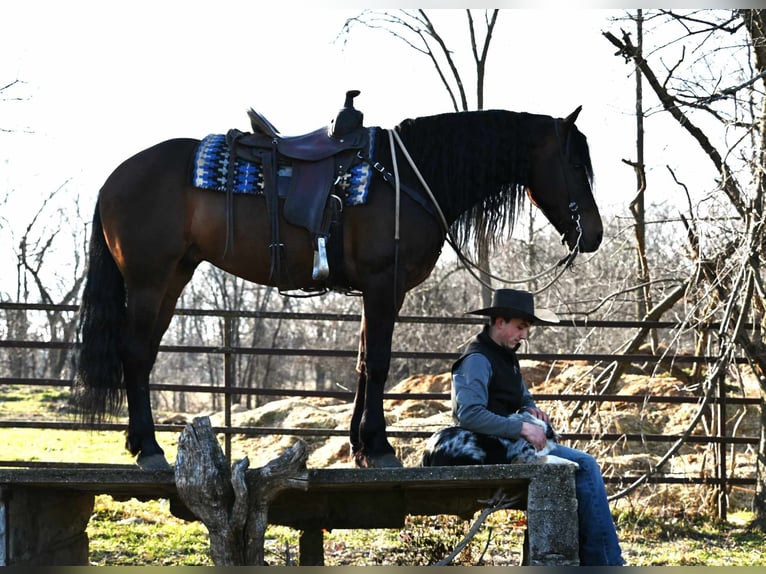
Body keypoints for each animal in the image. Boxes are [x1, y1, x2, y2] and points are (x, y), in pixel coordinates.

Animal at [72, 101, 604, 470]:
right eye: (576, 165)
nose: (594, 234)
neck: (408, 178)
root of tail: (113, 179)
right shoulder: (384, 284)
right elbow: (380, 362)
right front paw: (380, 446)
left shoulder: (376, 291)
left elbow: (365, 361)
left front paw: (360, 446)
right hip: (149, 279)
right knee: (135, 352)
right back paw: (148, 448)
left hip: (173, 276)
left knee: (143, 352)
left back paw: (139, 443)